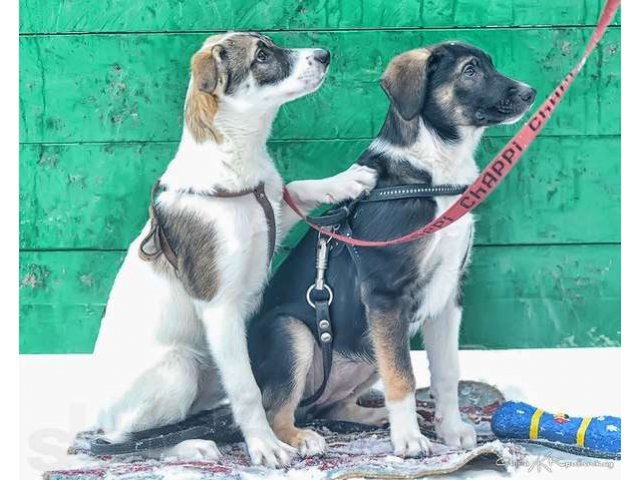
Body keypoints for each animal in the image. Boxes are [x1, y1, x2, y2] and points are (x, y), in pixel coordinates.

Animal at [91, 31, 380, 466]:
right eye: (261, 55)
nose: (325, 54)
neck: (236, 165)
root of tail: (99, 413)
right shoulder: (220, 308)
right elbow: (248, 390)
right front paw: (265, 445)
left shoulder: (272, 214)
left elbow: (296, 189)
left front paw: (345, 181)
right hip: (181, 369)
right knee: (129, 440)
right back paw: (191, 445)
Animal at [249, 42, 536, 458]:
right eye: (470, 71)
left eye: (490, 65)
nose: (530, 93)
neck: (433, 169)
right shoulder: (385, 296)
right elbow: (403, 375)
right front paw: (410, 439)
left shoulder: (447, 295)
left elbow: (446, 371)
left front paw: (450, 430)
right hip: (294, 332)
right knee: (277, 411)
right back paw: (302, 438)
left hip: (367, 345)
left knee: (330, 404)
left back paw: (374, 415)